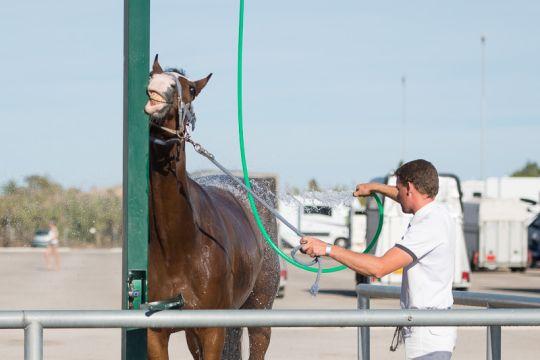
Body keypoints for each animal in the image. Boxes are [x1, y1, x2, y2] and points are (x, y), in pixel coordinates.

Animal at [144, 54, 278, 360]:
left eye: (190, 89)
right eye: (152, 75)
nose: (158, 89)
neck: (180, 246)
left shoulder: (212, 330)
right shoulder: (157, 333)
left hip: (260, 309)